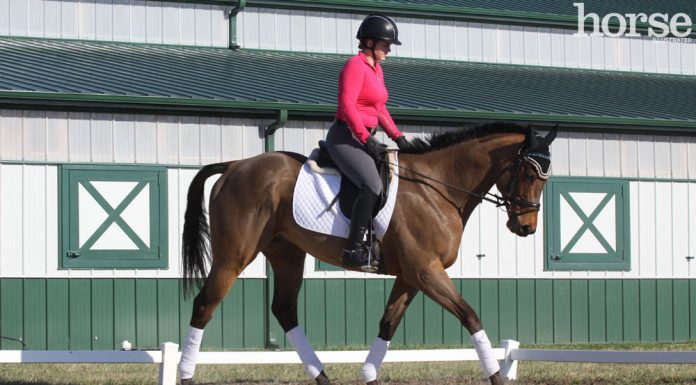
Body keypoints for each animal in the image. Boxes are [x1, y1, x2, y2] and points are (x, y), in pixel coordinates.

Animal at [178, 122, 556, 384]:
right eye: (528, 173)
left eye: (545, 178)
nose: (526, 227)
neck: (439, 187)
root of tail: (234, 165)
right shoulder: (426, 270)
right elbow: (470, 316)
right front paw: (495, 376)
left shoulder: (410, 276)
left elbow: (387, 324)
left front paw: (369, 374)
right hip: (233, 256)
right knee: (205, 305)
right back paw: (185, 374)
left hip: (287, 255)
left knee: (284, 310)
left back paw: (322, 376)